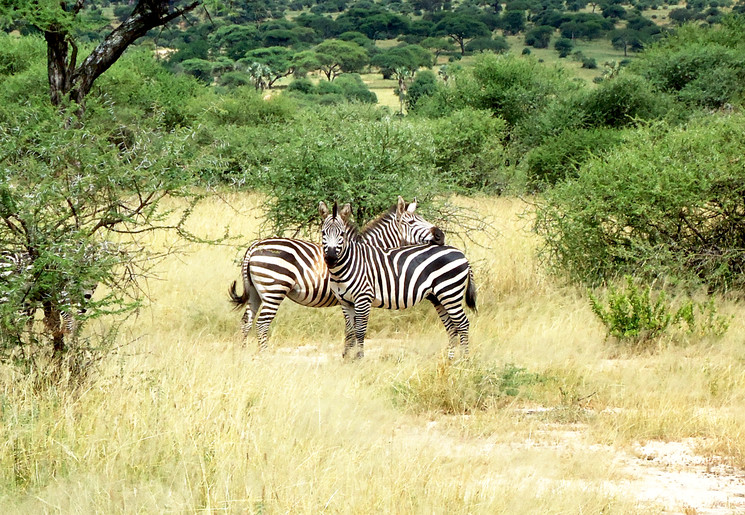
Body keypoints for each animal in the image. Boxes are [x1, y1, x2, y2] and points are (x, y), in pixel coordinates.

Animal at [230, 197, 444, 350]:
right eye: (411, 222)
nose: (441, 235)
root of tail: (255, 246)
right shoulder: (350, 297)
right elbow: (351, 330)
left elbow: (351, 330)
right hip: (274, 289)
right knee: (262, 323)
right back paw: (263, 355)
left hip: (256, 291)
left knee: (246, 322)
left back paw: (243, 355)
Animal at [316, 200, 474, 360]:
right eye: (323, 233)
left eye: (342, 234)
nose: (330, 258)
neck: (350, 263)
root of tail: (462, 254)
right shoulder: (345, 302)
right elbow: (349, 331)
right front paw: (348, 359)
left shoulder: (363, 299)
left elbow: (359, 331)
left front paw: (359, 358)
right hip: (439, 297)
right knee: (452, 327)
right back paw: (451, 359)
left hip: (450, 292)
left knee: (463, 324)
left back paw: (464, 360)